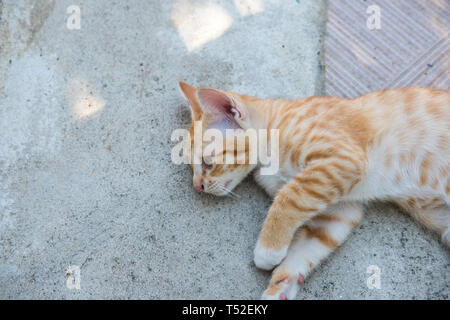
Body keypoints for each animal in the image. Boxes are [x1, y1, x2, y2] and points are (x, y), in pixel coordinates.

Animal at [178, 80, 450, 300]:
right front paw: (281, 284)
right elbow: (308, 245)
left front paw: (268, 250)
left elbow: (287, 198)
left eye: (207, 162)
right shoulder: (340, 211)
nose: (198, 186)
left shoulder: (342, 161)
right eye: (192, 166)